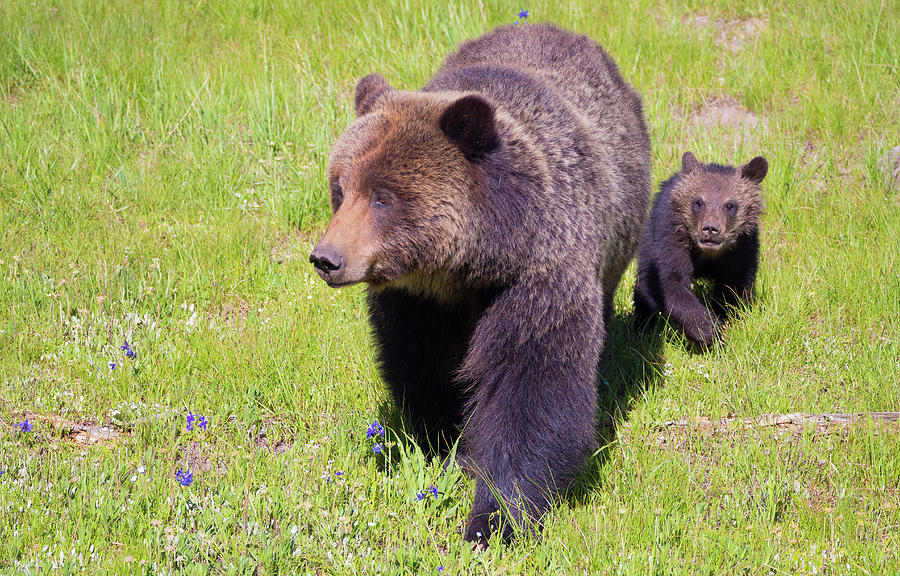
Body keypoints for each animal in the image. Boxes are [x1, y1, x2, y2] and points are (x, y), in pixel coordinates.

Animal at [310, 23, 648, 544]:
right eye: (341, 189)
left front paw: (495, 517)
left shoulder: (536, 278)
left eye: (383, 196)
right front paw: (443, 440)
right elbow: (424, 365)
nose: (327, 258)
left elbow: (533, 389)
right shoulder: (417, 301)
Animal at [632, 151, 768, 348]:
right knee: (644, 286)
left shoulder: (741, 249)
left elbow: (734, 287)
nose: (710, 228)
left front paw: (726, 322)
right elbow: (669, 281)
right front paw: (708, 329)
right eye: (698, 202)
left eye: (730, 205)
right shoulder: (673, 240)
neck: (708, 254)